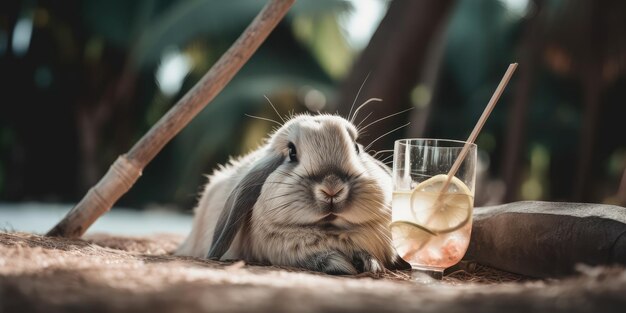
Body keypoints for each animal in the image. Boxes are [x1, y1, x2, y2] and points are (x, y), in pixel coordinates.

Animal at [176, 112, 410, 272]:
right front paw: (338, 264)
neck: (330, 233)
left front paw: (371, 263)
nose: (332, 189)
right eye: (291, 153)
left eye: (357, 148)